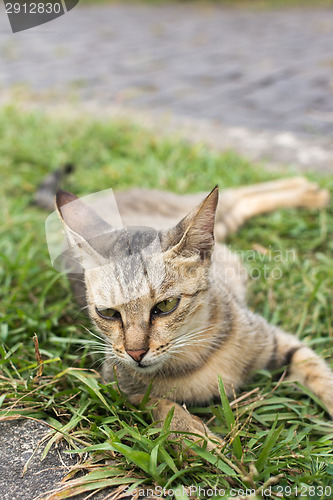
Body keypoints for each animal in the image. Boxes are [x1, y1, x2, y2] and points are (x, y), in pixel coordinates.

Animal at [54, 178, 332, 448]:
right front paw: (199, 438)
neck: (194, 359)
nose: (135, 353)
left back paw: (309, 191)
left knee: (239, 193)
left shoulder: (275, 340)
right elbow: (159, 405)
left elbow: (318, 373)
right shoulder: (118, 385)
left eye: (166, 305)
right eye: (108, 312)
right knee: (244, 201)